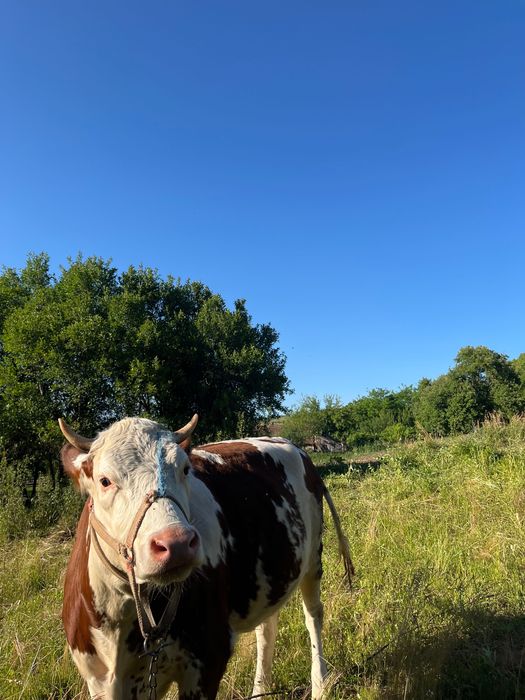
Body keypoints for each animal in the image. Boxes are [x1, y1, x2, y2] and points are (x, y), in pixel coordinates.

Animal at [59, 414, 353, 700]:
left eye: (185, 469)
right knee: (267, 627)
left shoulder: (208, 659)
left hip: (313, 559)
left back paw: (320, 685)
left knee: (313, 616)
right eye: (104, 481)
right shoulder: (98, 679)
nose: (176, 543)